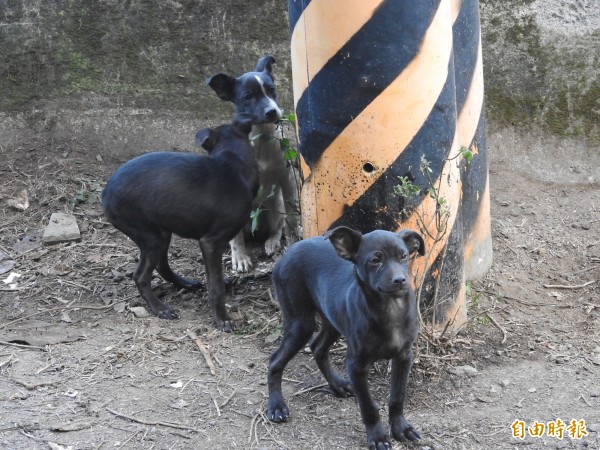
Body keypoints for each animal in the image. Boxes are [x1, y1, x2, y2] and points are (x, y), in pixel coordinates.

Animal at [100, 118, 258, 332]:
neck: (235, 165)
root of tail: (106, 193)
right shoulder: (211, 242)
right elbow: (216, 285)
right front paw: (222, 319)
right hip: (151, 235)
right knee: (140, 276)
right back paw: (160, 308)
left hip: (161, 232)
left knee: (161, 265)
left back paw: (185, 284)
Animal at [207, 55, 298, 272]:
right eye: (247, 97)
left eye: (272, 90)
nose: (273, 111)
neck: (261, 139)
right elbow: (236, 239)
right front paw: (240, 258)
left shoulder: (287, 179)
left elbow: (291, 217)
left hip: (273, 205)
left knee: (277, 226)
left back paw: (272, 242)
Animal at [268, 227, 426, 448]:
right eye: (375, 260)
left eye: (403, 256)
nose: (400, 280)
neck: (391, 309)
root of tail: (287, 253)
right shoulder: (356, 365)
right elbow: (368, 407)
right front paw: (378, 437)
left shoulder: (404, 357)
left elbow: (397, 397)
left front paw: (401, 428)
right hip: (300, 324)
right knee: (275, 361)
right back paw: (276, 406)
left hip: (332, 319)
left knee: (318, 347)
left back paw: (338, 385)